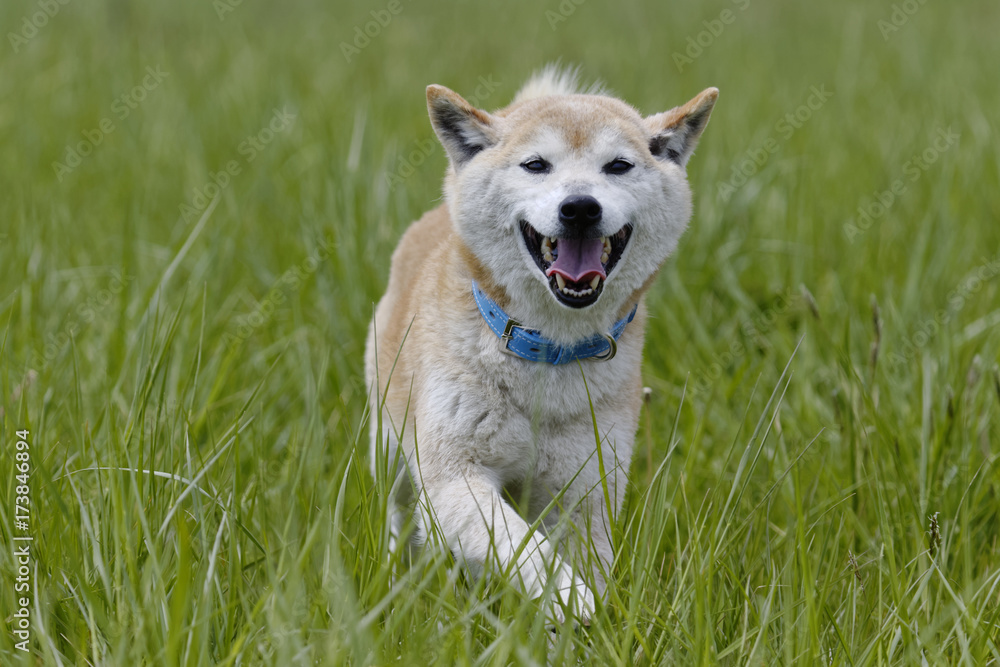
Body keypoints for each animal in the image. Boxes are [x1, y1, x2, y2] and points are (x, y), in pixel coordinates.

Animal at [364, 65, 716, 624]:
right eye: (535, 165)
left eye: (618, 166)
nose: (580, 208)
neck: (549, 354)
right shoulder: (453, 477)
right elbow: (524, 548)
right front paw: (573, 600)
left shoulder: (585, 489)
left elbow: (579, 556)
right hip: (390, 451)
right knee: (400, 518)